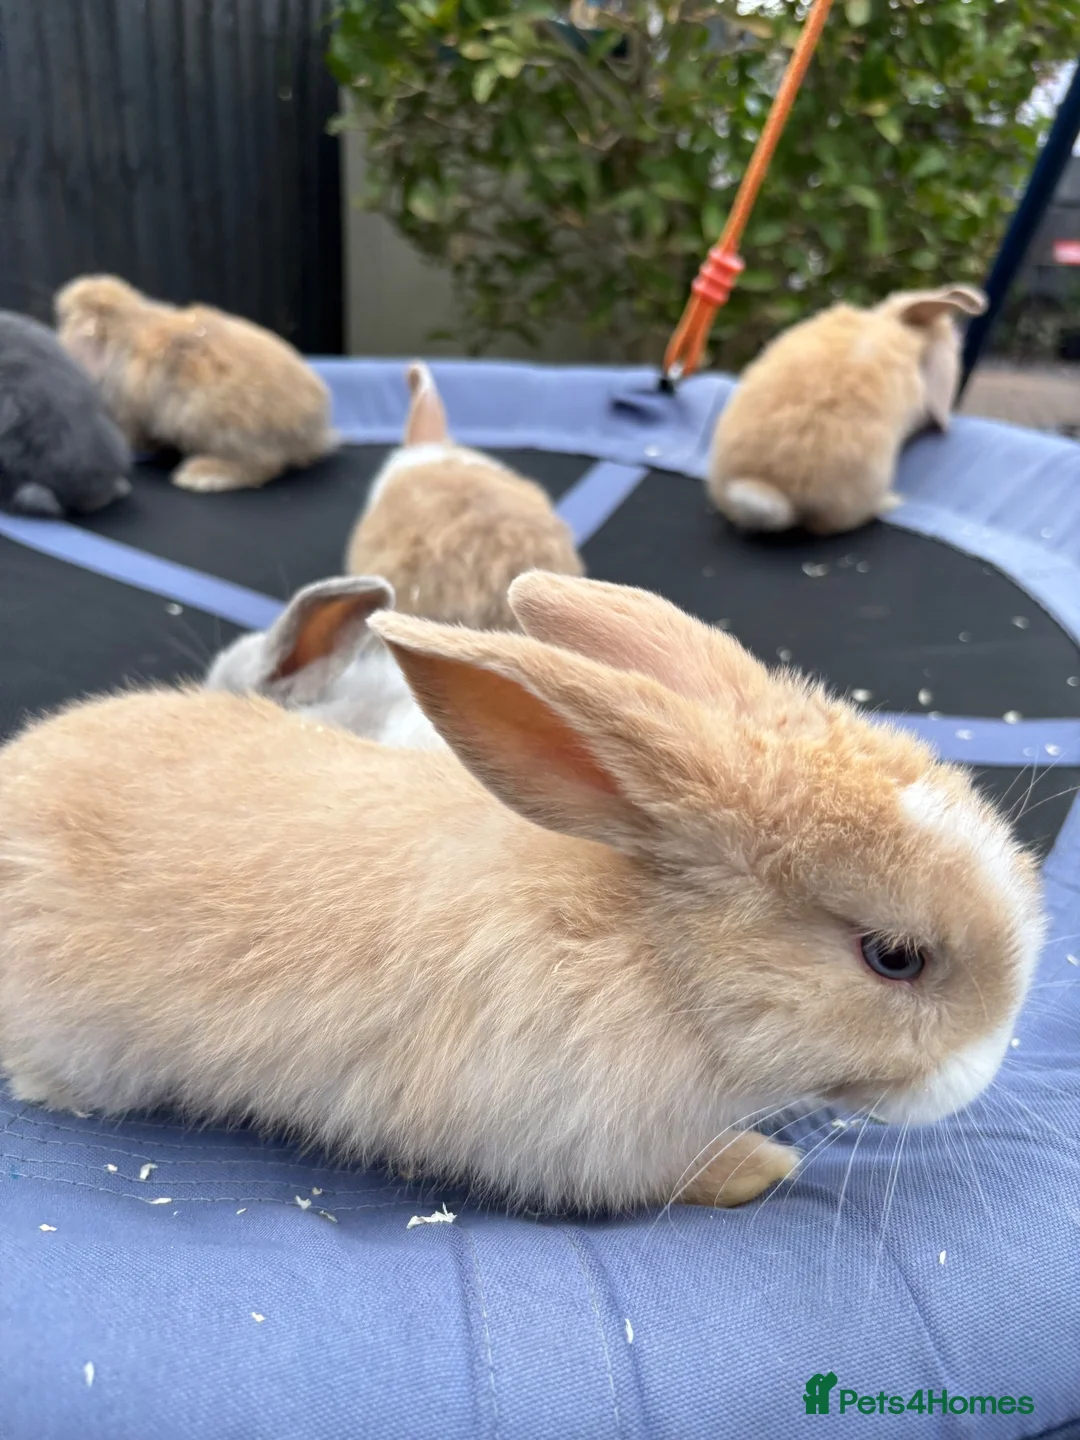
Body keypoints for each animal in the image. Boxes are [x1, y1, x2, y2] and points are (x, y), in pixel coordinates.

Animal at [54, 275, 335, 494]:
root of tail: (312, 432)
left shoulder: (127, 412)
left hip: (217, 426)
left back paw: (200, 475)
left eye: (68, 318)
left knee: (263, 466)